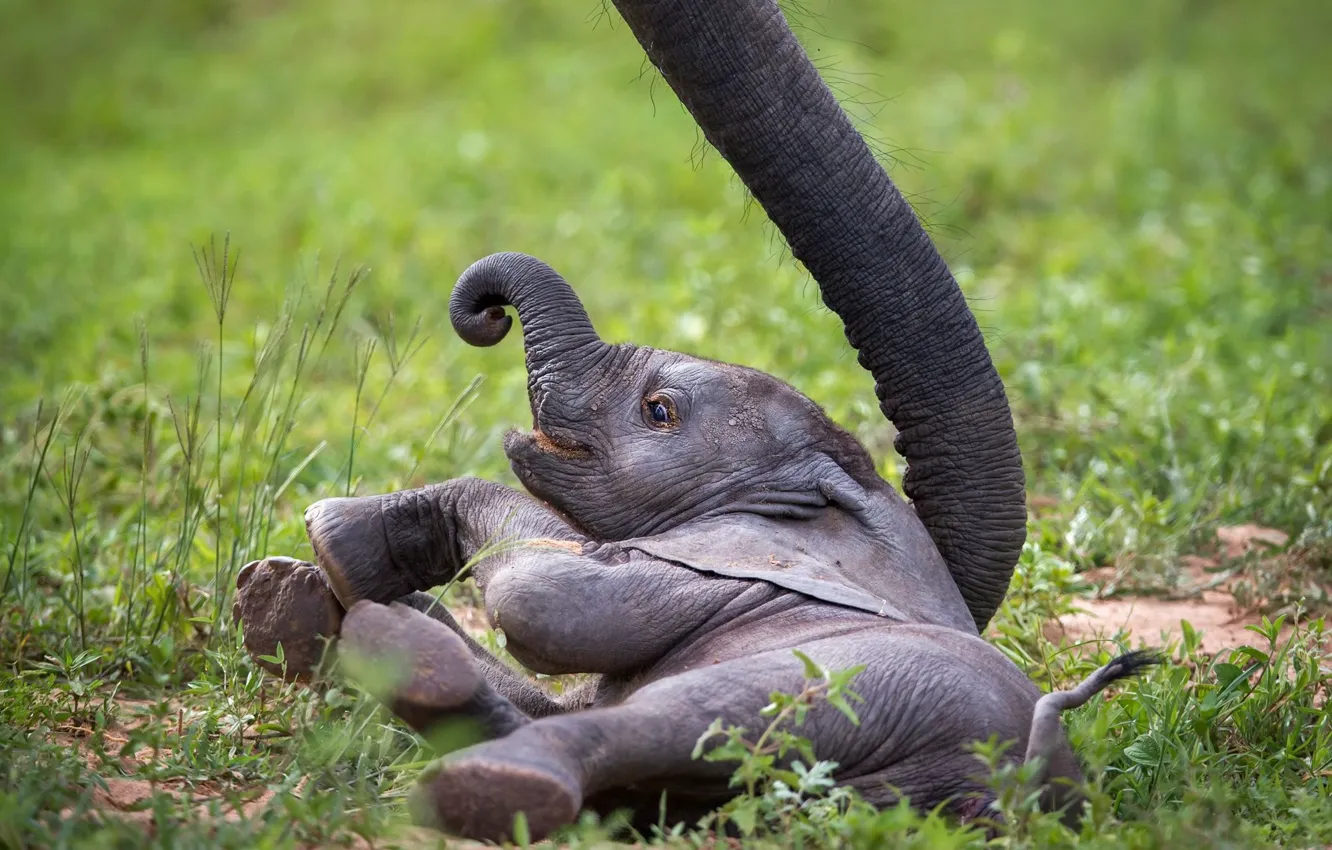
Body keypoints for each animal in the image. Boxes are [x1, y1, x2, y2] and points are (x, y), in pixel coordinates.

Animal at [232, 0, 1158, 842]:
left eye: (659, 410)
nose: (486, 310)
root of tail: (1016, 776)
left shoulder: (726, 565)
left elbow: (556, 600)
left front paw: (334, 540)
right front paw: (302, 585)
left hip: (870, 685)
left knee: (682, 716)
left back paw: (478, 770)